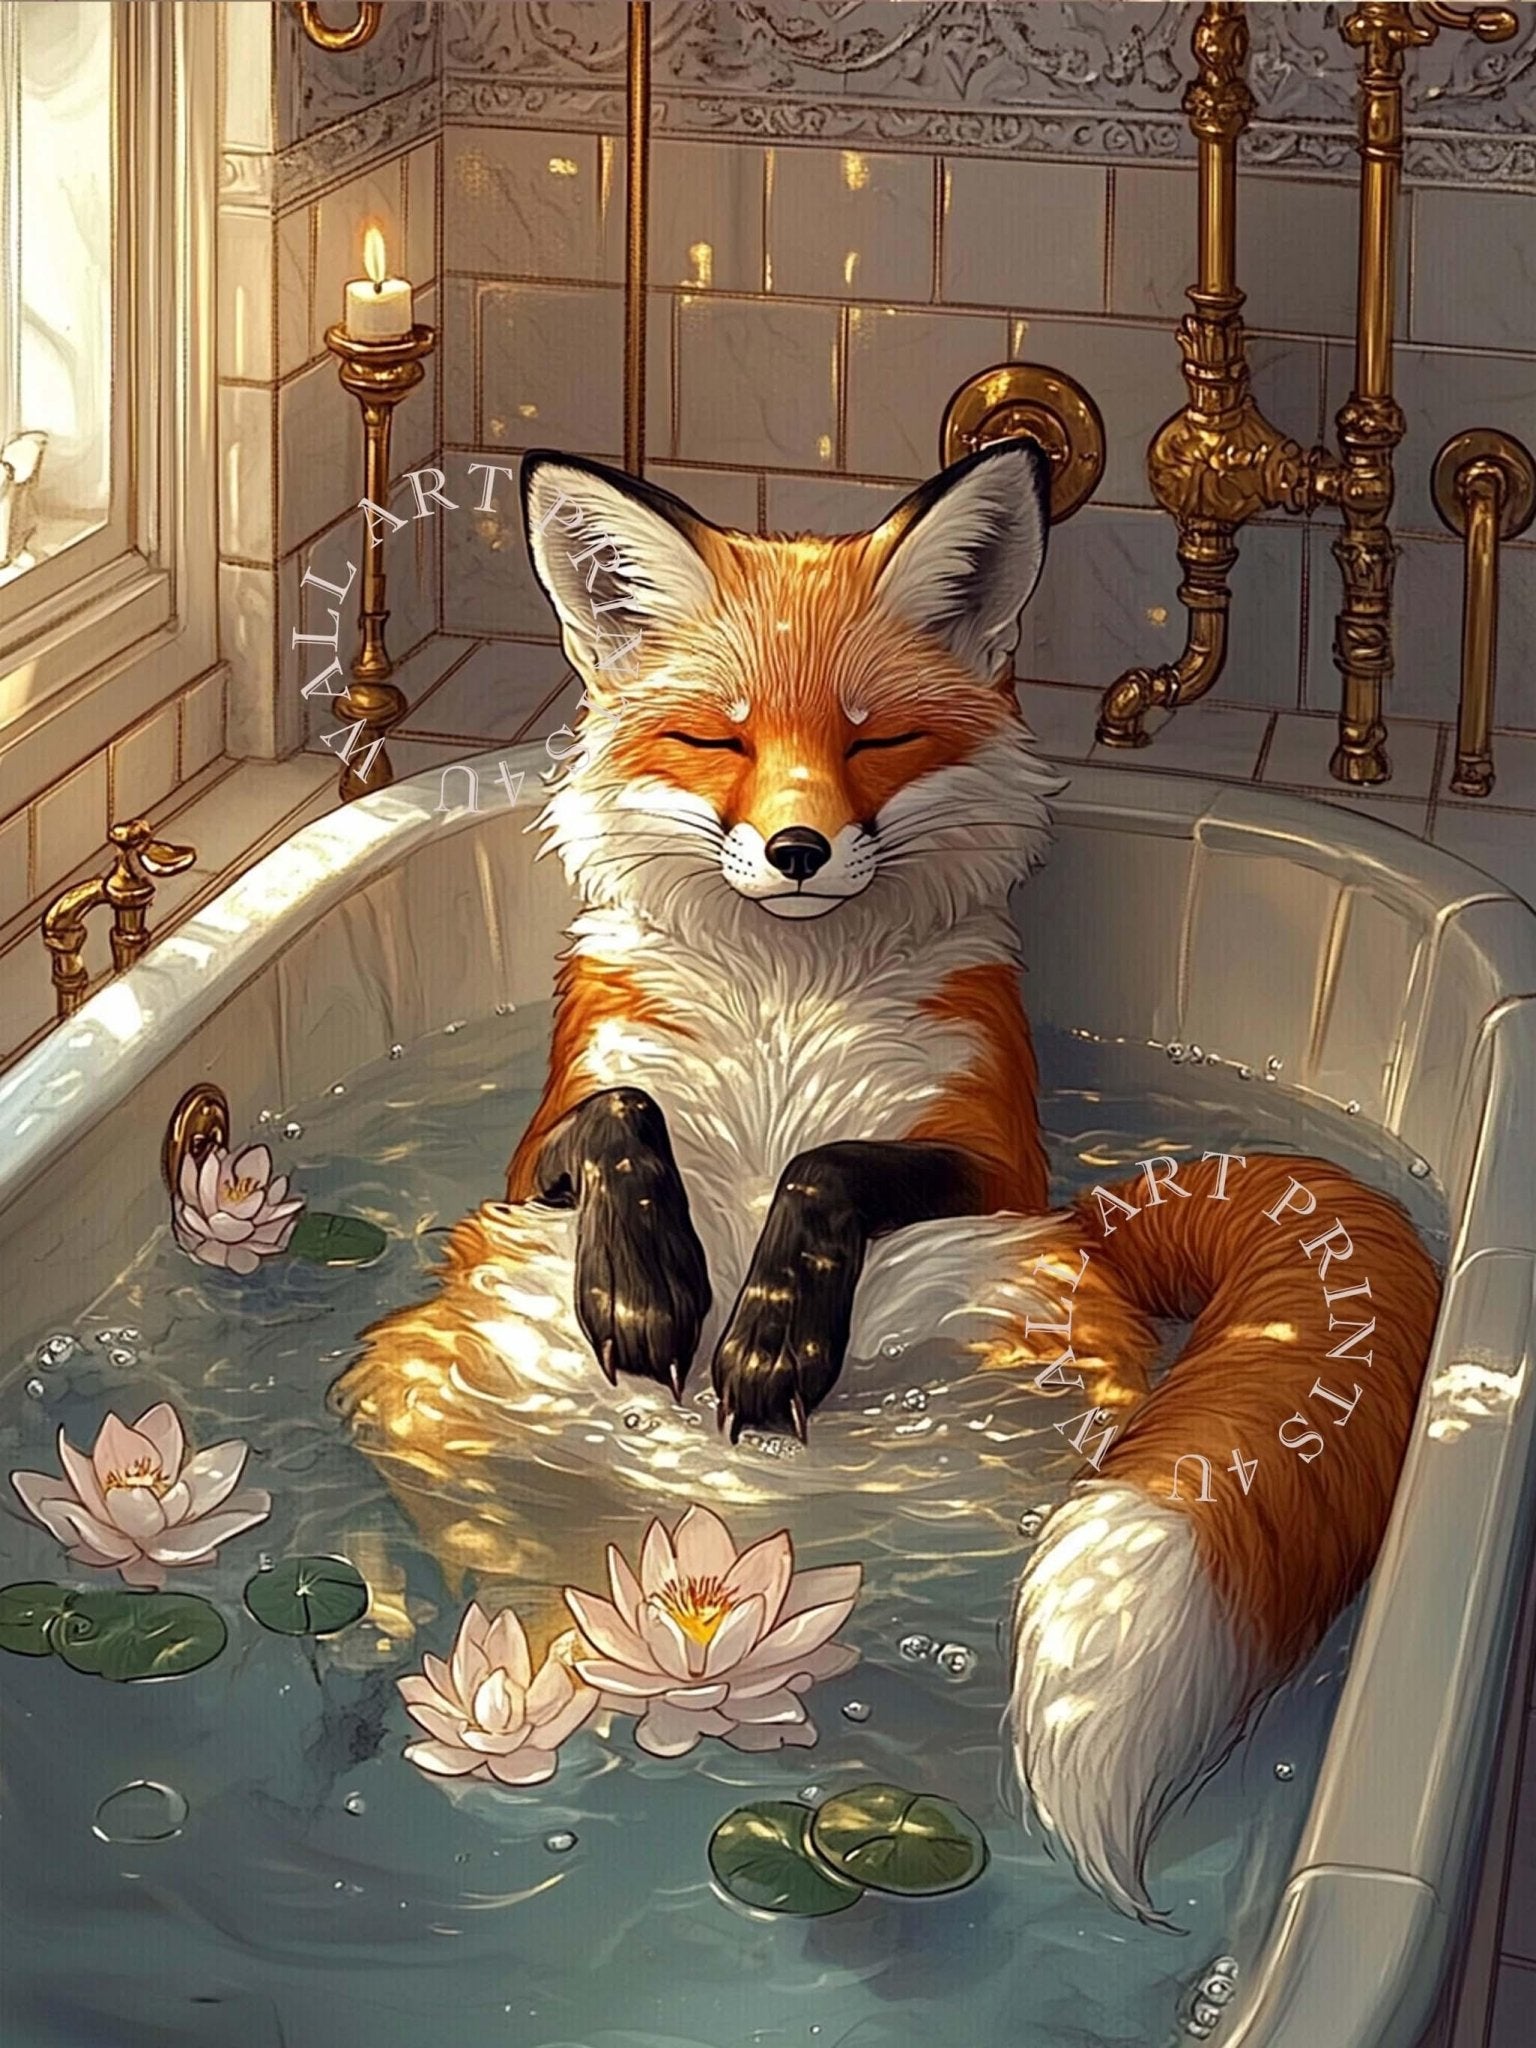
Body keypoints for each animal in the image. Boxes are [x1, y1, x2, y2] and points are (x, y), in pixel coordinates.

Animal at [333, 439, 1441, 1925]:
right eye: (722, 741)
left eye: (874, 742)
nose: (798, 851)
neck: (784, 991)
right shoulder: (553, 1132)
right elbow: (628, 1121)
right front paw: (649, 1290)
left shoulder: (988, 1153)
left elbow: (828, 1165)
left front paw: (766, 1338)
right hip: (442, 1414)